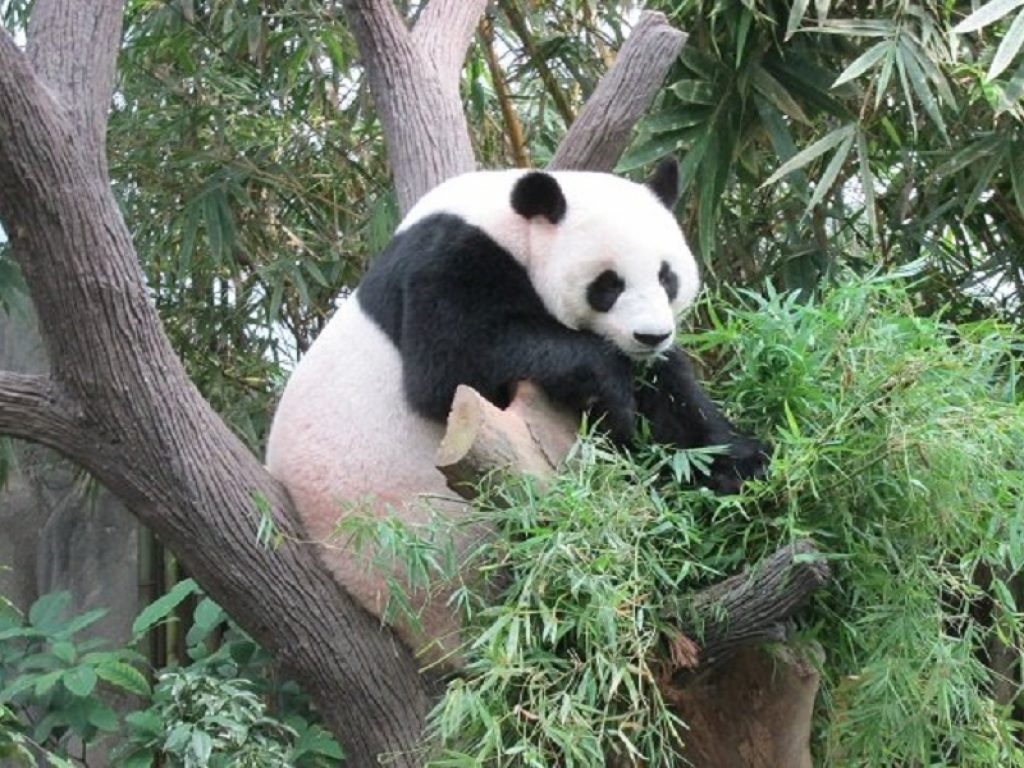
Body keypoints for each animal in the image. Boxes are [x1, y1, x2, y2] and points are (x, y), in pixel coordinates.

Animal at [265, 159, 767, 664]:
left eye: (667, 277)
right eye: (608, 285)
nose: (651, 335)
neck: (511, 227)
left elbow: (673, 402)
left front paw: (741, 467)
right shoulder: (448, 262)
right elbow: (449, 364)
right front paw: (613, 391)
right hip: (429, 556)